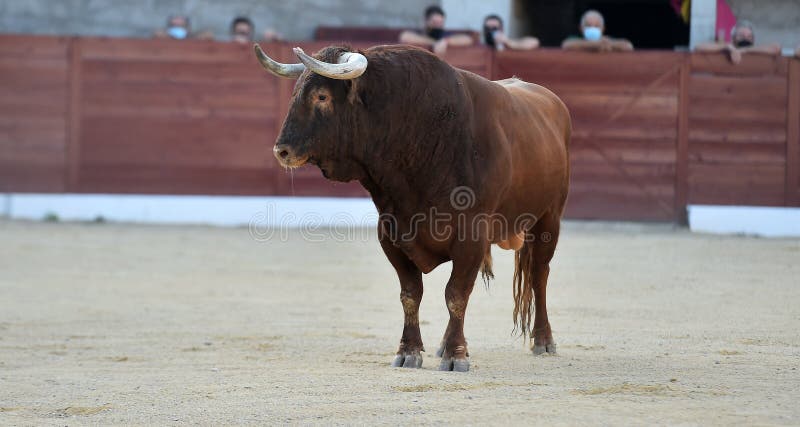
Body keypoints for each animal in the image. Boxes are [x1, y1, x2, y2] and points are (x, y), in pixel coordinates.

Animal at [254, 43, 570, 372]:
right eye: (295, 94)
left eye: (322, 96)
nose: (281, 150)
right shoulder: (391, 233)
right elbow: (411, 294)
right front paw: (410, 351)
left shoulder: (471, 237)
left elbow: (456, 294)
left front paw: (456, 356)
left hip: (549, 219)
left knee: (539, 275)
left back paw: (543, 340)